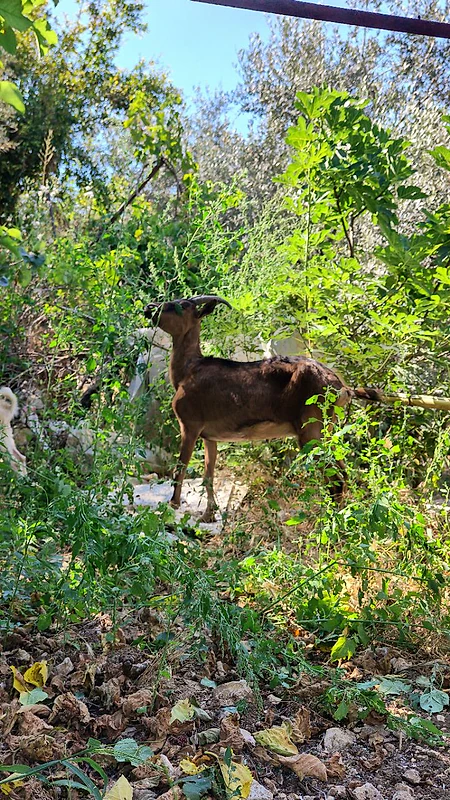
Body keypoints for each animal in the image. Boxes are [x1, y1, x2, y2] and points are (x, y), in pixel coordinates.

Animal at [144, 296, 380, 522]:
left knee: (336, 478)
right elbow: (208, 476)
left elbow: (180, 469)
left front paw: (172, 507)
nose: (149, 307)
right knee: (343, 473)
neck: (188, 371)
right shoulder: (210, 436)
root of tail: (341, 387)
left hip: (311, 429)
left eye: (182, 305)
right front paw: (208, 515)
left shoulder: (189, 425)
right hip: (325, 429)